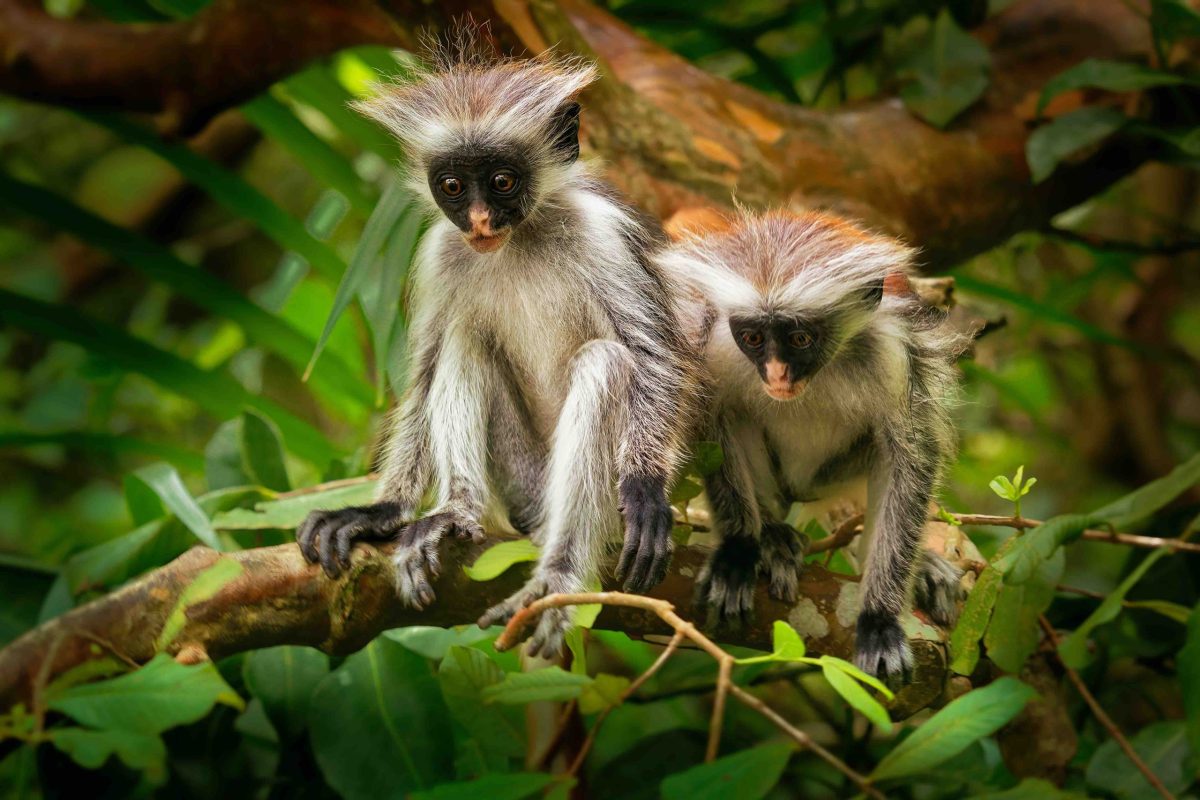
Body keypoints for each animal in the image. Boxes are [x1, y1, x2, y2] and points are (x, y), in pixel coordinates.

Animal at [294, 45, 701, 657]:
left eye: (503, 181)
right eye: (453, 186)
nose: (482, 220)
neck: (516, 243)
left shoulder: (601, 233)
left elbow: (655, 356)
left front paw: (647, 489)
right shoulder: (441, 251)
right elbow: (426, 373)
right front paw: (382, 510)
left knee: (606, 362)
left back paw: (558, 577)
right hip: (520, 479)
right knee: (465, 340)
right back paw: (452, 515)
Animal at [657, 209, 965, 683]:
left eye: (800, 339)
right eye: (753, 338)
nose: (777, 375)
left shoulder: (891, 351)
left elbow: (909, 457)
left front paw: (879, 618)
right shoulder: (716, 345)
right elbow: (711, 421)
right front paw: (739, 552)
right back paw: (770, 535)